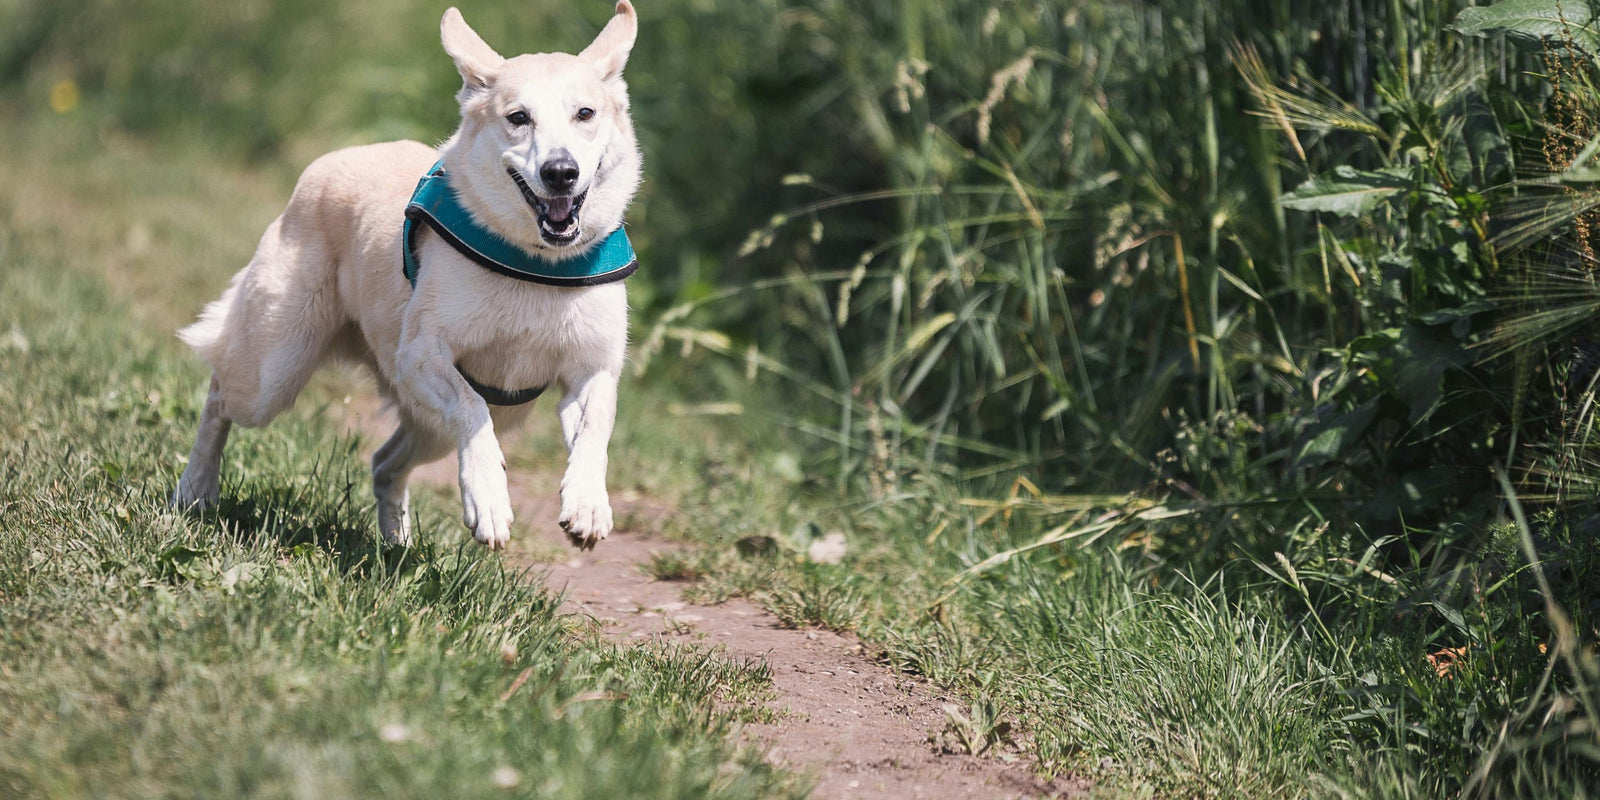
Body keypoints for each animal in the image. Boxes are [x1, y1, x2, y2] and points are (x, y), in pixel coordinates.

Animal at [170, 1, 643, 550]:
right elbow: (471, 408)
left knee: (384, 463)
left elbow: (595, 429)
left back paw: (396, 544)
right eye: (518, 118)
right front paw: (489, 500)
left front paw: (587, 504)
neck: (535, 265)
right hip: (272, 373)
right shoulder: (421, 354)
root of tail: (330, 161)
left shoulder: (592, 370)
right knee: (219, 396)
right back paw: (194, 491)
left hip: (428, 427)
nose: (560, 172)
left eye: (585, 114)